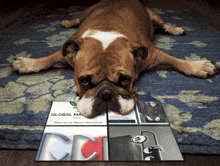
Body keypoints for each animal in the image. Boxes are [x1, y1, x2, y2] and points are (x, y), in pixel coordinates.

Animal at [9, 0, 217, 118]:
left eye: (125, 80)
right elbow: (45, 59)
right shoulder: (66, 52)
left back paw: (175, 29)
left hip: (153, 14)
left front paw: (199, 66)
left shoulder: (153, 54)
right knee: (77, 18)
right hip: (86, 11)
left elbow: (178, 61)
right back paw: (67, 21)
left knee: (163, 23)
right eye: (84, 81)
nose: (106, 93)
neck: (106, 34)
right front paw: (25, 63)